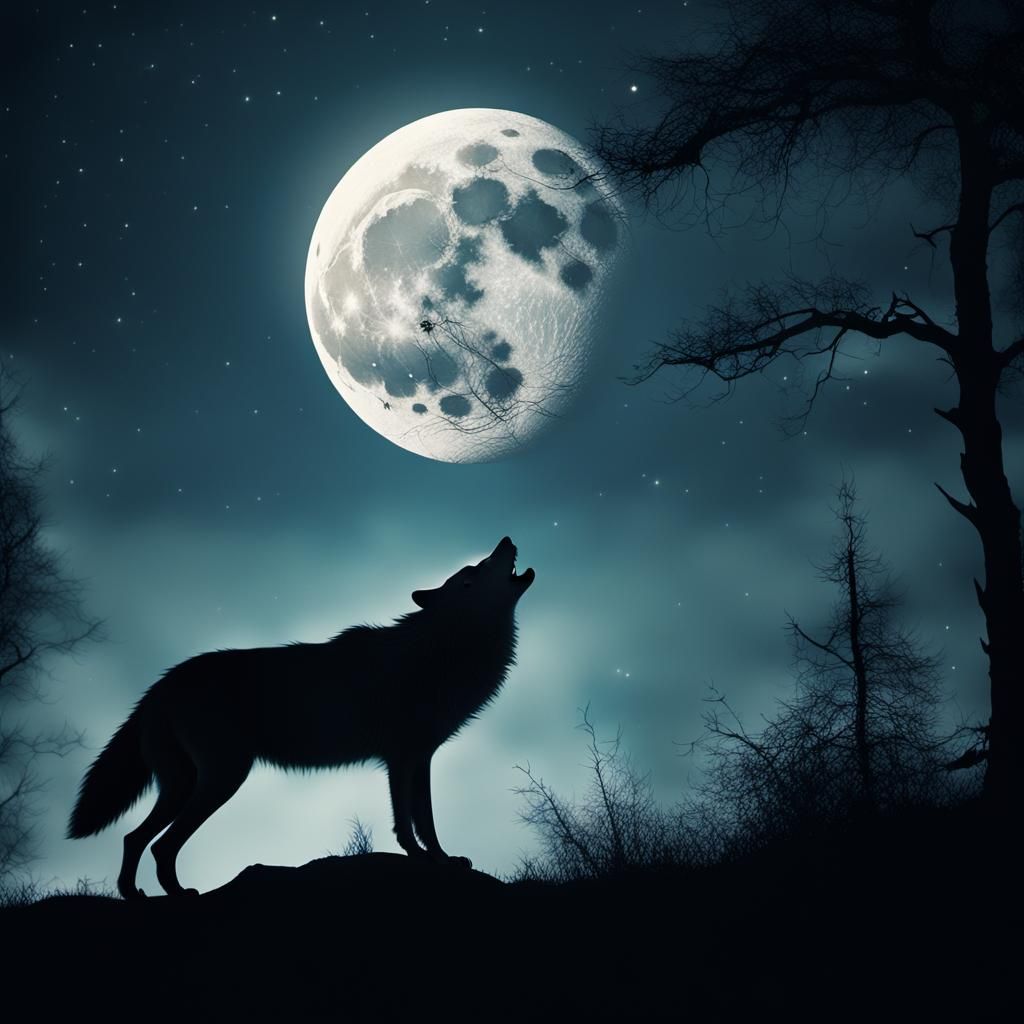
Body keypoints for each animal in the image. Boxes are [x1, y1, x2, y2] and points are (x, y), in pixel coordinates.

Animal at [67, 536, 535, 899]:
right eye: (475, 568)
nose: (507, 539)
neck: (446, 650)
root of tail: (161, 684)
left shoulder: (419, 757)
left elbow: (425, 822)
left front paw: (441, 859)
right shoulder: (403, 758)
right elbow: (410, 823)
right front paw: (422, 858)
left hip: (184, 784)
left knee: (135, 837)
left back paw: (135, 894)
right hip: (222, 779)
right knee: (160, 845)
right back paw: (178, 894)